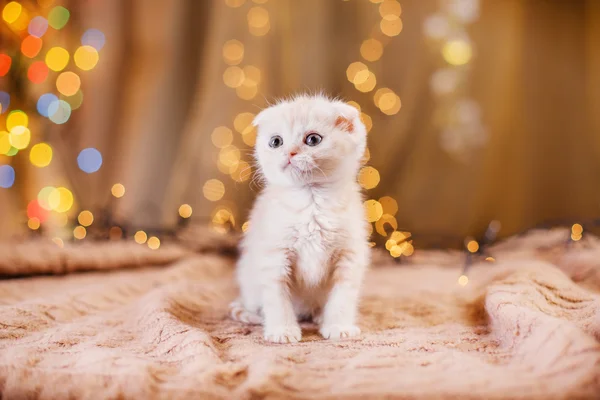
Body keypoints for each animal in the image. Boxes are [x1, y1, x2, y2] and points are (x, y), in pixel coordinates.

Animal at [230, 94, 370, 344]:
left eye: (313, 139)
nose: (290, 153)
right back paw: (253, 315)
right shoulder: (274, 255)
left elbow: (343, 295)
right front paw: (282, 330)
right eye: (276, 142)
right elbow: (277, 297)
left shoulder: (350, 255)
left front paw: (338, 326)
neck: (312, 203)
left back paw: (319, 315)